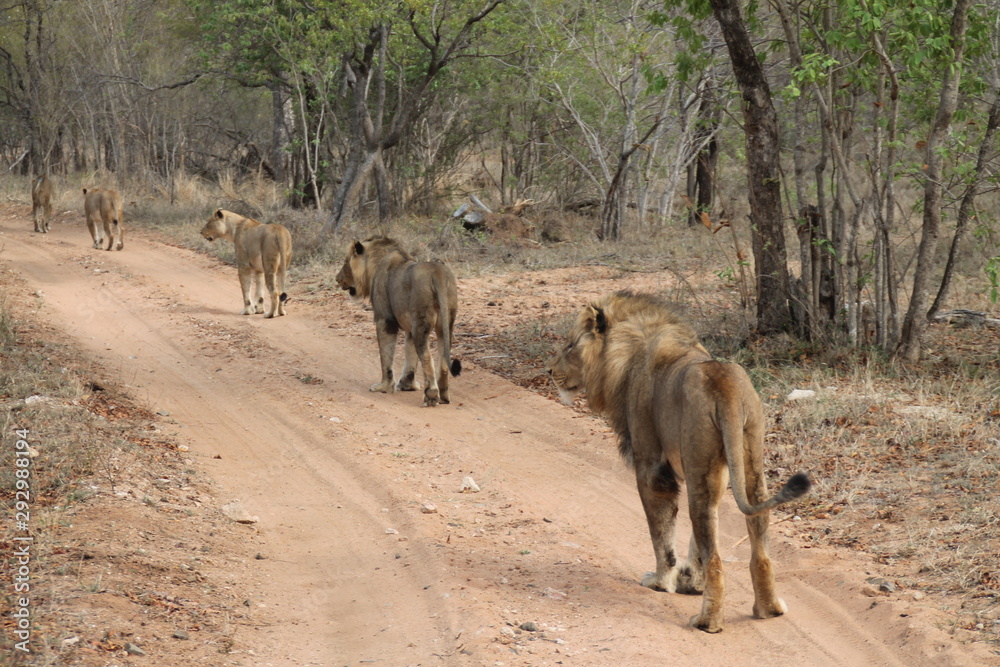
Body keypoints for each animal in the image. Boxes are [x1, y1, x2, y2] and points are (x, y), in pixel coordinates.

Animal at [336, 237, 460, 410]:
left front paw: (384, 387)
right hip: (445, 323)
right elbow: (410, 354)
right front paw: (407, 385)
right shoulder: (409, 327)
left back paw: (431, 396)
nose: (337, 278)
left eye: (346, 261)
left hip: (421, 323)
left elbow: (386, 356)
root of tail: (438, 273)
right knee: (442, 360)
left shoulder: (385, 320)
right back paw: (444, 397)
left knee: (427, 357)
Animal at [548, 294, 812, 636]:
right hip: (749, 462)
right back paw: (769, 608)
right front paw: (691, 582)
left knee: (716, 561)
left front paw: (662, 582)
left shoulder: (650, 467)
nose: (549, 371)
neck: (628, 352)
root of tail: (726, 386)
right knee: (759, 547)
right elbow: (693, 544)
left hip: (700, 470)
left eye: (569, 345)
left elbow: (662, 535)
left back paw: (707, 622)